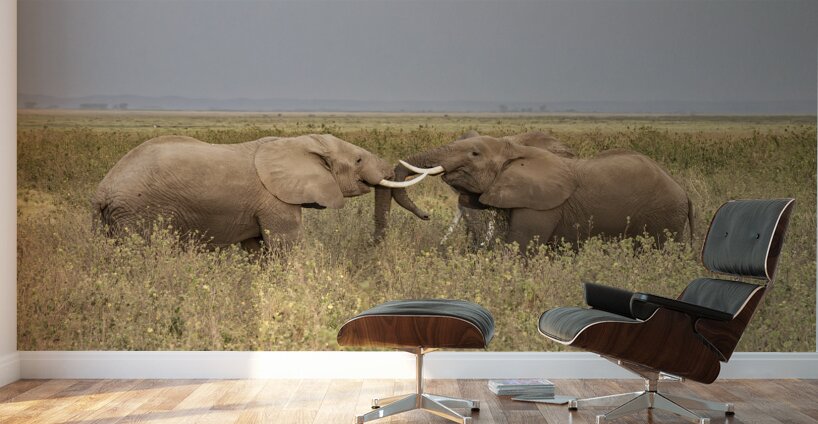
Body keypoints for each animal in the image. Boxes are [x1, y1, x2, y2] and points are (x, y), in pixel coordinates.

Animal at [94, 134, 424, 249]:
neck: (298, 141)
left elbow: (257, 249)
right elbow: (285, 246)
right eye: (357, 161)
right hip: (138, 212)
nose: (372, 246)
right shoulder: (274, 200)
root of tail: (102, 191)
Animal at [377, 133, 692, 251]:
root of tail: (685, 193)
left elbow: (520, 245)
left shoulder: (541, 204)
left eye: (474, 153)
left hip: (664, 215)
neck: (515, 149)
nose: (426, 215)